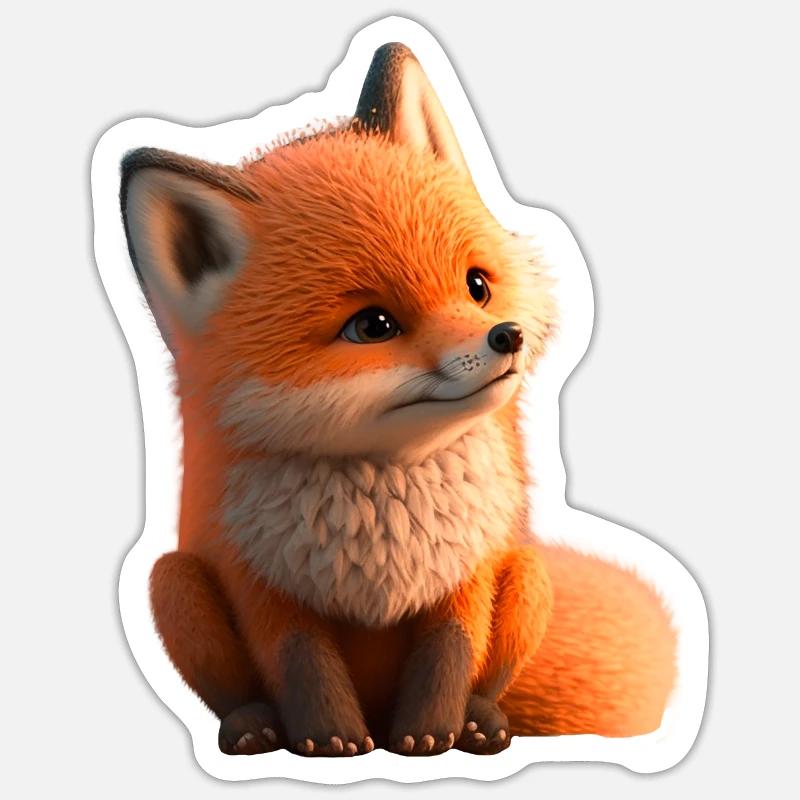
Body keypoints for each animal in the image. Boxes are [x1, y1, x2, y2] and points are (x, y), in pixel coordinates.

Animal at [119, 43, 677, 757]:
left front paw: (429, 736)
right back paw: (252, 727)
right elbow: (301, 663)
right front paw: (329, 740)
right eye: (373, 326)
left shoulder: (467, 574)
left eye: (476, 285)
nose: (507, 336)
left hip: (529, 574)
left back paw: (482, 722)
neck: (385, 522)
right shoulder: (264, 590)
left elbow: (450, 652)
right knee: (228, 677)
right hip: (174, 583)